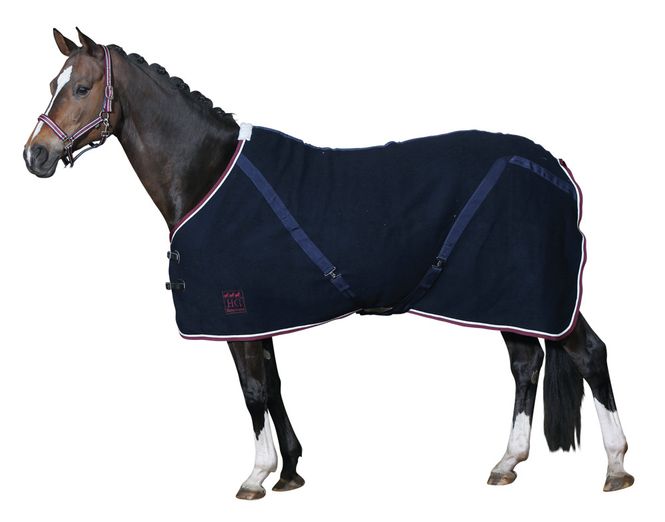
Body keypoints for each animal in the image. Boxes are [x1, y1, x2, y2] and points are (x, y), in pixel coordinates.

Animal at [23, 28, 634, 499]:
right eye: (52, 85)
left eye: (81, 87)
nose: (35, 155)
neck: (208, 173)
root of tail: (554, 164)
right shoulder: (259, 313)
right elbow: (273, 386)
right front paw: (291, 470)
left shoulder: (234, 315)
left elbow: (253, 392)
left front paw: (257, 475)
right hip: (507, 296)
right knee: (527, 363)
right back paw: (507, 463)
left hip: (536, 291)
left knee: (588, 354)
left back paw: (616, 465)